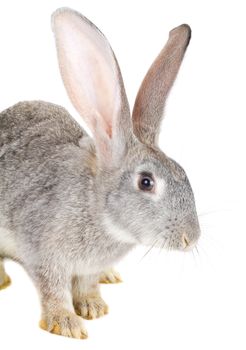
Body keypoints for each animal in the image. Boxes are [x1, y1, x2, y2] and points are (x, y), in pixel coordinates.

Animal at [0, 6, 200, 338]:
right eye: (146, 182)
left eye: (184, 173)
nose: (191, 238)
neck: (97, 207)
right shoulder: (43, 255)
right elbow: (53, 290)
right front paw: (66, 323)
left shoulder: (87, 268)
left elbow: (86, 284)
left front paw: (93, 307)